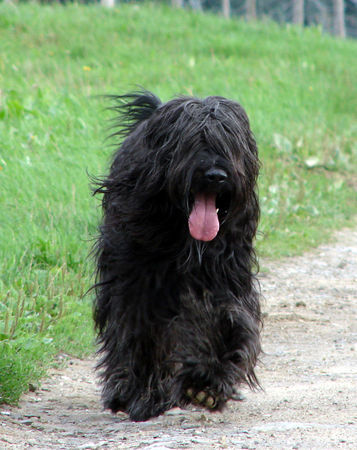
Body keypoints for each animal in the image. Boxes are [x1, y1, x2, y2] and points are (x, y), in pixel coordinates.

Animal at [91, 90, 262, 422]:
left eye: (229, 141)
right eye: (194, 140)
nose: (216, 175)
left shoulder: (225, 276)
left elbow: (228, 319)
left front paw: (209, 382)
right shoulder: (140, 283)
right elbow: (143, 333)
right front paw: (145, 395)